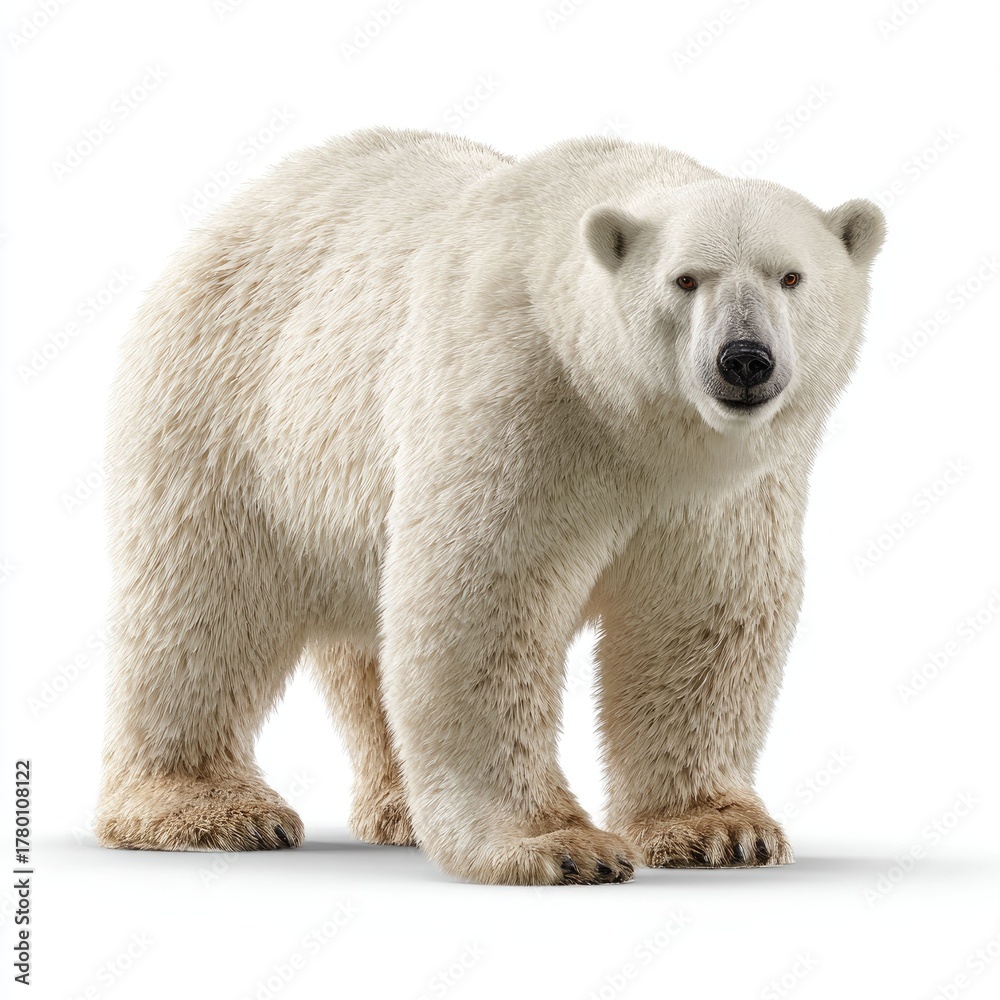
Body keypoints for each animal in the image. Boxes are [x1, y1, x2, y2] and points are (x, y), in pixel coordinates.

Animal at [94, 127, 884, 885]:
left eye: (791, 275)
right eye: (685, 279)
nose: (744, 359)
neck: (629, 421)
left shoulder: (721, 492)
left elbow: (702, 619)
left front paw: (721, 830)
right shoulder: (519, 402)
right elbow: (481, 604)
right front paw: (559, 846)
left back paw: (400, 810)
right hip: (233, 408)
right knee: (204, 608)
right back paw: (209, 809)